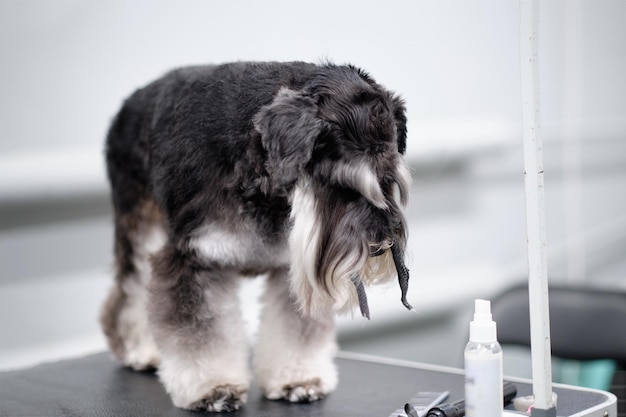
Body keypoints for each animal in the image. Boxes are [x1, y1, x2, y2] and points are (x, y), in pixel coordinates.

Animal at [100, 60, 412, 412]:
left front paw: (298, 379)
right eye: (341, 186)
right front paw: (213, 387)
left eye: (389, 180)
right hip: (140, 230)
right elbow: (198, 332)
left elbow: (296, 328)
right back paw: (140, 350)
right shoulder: (195, 256)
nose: (382, 244)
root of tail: (126, 107)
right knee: (131, 290)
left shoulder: (291, 267)